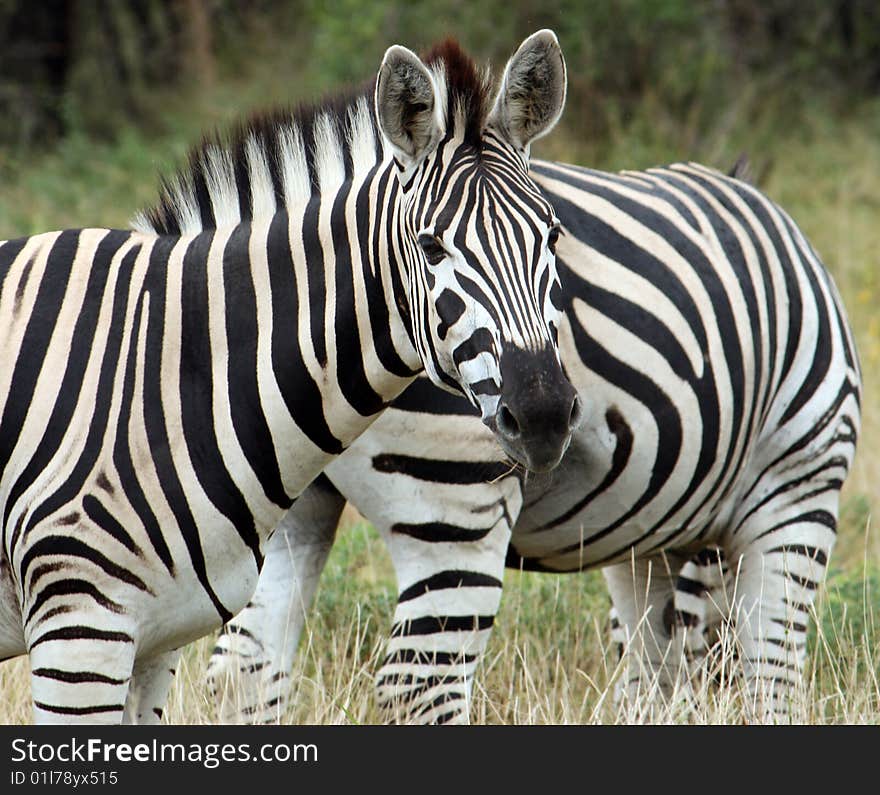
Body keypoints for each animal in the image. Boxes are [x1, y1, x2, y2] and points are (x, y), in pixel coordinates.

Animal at [0, 31, 576, 724]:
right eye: (432, 247)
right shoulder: (78, 627)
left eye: (553, 234)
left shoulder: (156, 639)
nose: (544, 415)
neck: (171, 380)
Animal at [210, 159, 864, 724]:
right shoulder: (799, 487)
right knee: (422, 685)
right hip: (453, 502)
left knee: (246, 667)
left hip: (285, 497)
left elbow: (652, 674)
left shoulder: (642, 541)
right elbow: (771, 679)